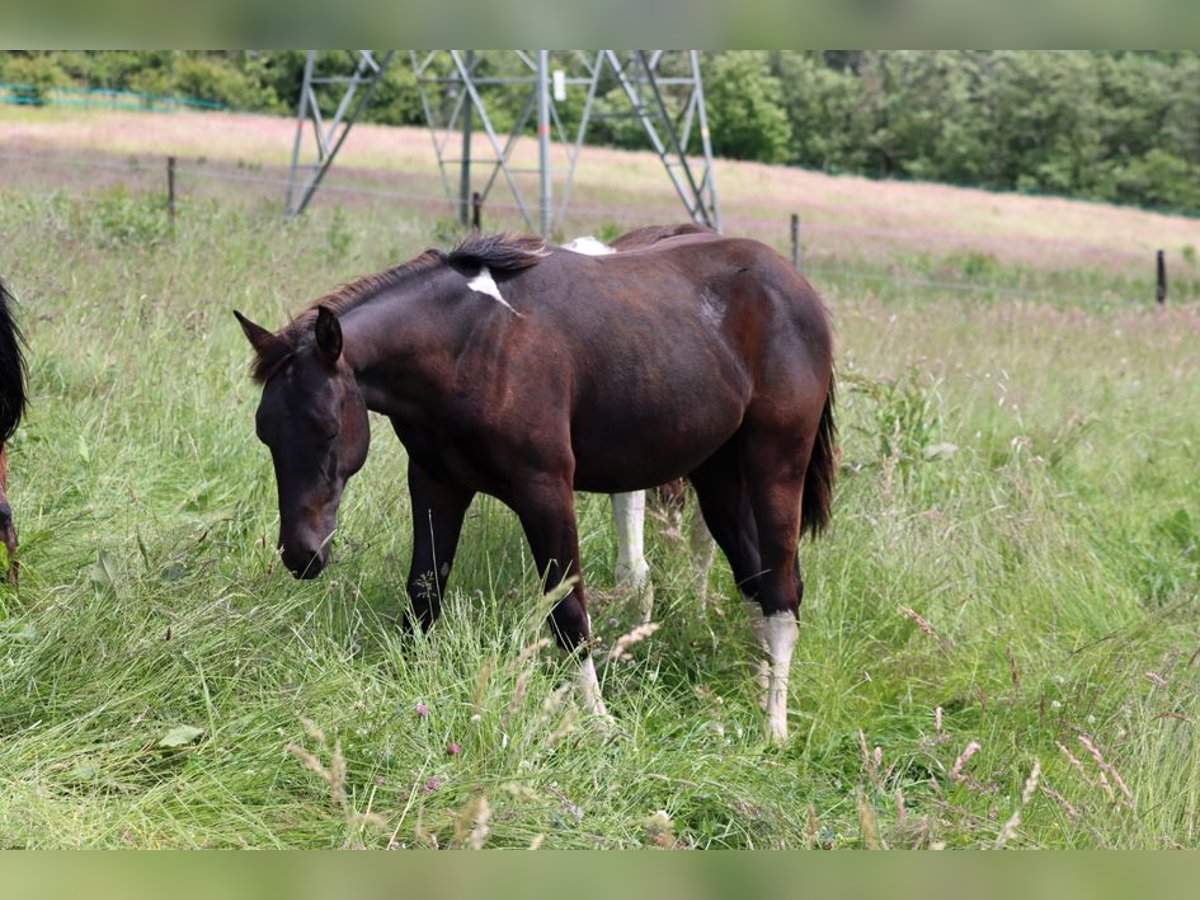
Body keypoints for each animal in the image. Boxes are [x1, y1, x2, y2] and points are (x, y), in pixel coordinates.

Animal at [235, 228, 836, 743]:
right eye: (265, 432)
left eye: (328, 427)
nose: (301, 554)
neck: (474, 341)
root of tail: (796, 287)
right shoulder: (435, 483)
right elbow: (424, 593)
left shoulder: (545, 492)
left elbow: (568, 612)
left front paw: (599, 724)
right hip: (717, 478)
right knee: (758, 581)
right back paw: (758, 691)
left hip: (776, 467)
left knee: (783, 590)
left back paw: (774, 728)